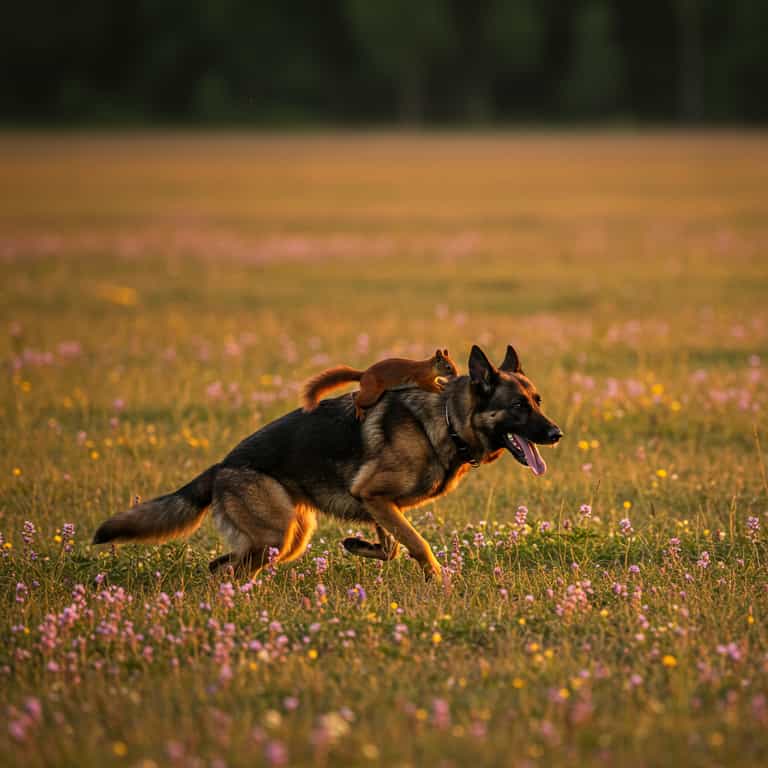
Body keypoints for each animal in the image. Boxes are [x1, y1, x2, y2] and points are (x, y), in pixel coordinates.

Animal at [301, 349, 458, 420]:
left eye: (453, 364)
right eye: (448, 367)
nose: (456, 375)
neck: (429, 368)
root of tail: (364, 375)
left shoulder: (431, 379)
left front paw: (442, 386)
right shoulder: (420, 378)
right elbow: (428, 386)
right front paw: (440, 390)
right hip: (372, 393)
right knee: (356, 397)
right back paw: (359, 411)